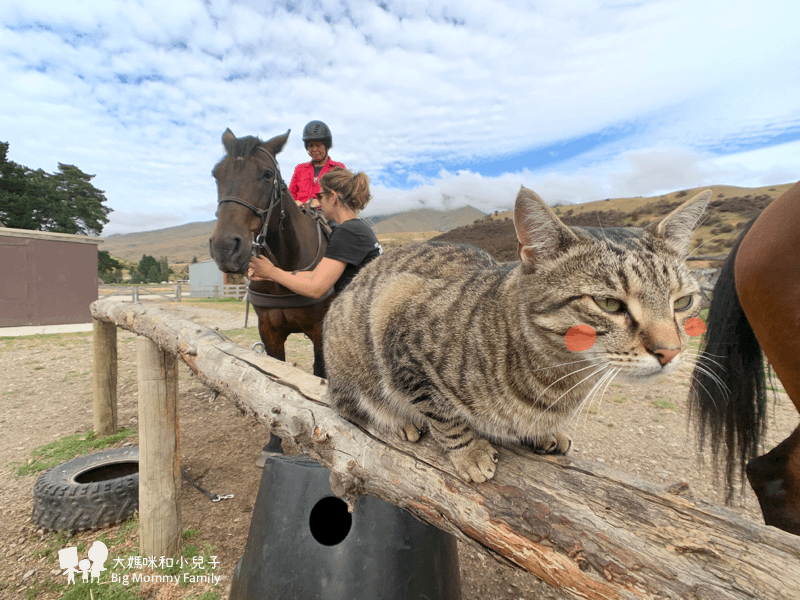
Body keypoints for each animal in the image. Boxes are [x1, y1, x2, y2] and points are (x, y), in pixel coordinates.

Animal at [322, 188, 708, 482]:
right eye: (609, 304)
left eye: (683, 301)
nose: (670, 351)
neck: (559, 379)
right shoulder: (398, 318)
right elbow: (443, 415)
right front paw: (470, 453)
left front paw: (543, 433)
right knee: (352, 406)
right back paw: (400, 421)